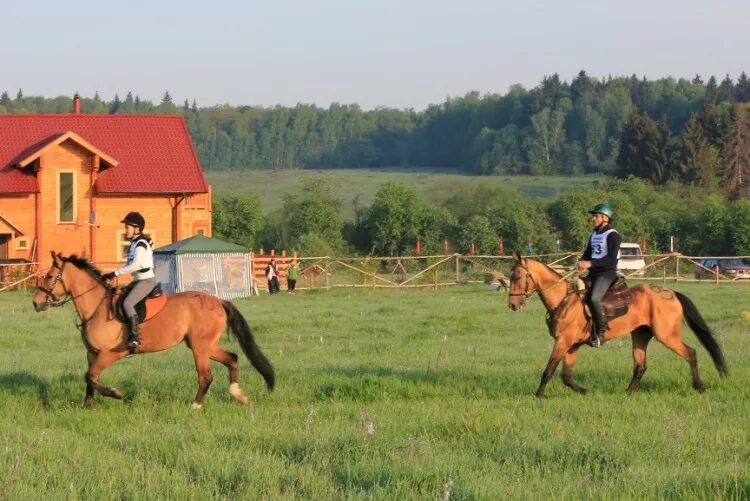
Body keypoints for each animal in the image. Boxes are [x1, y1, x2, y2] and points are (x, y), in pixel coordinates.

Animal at [33, 252, 276, 408]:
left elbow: (90, 376)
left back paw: (195, 406)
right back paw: (239, 396)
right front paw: (87, 406)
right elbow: (90, 379)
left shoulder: (111, 354)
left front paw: (115, 393)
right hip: (205, 345)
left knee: (206, 376)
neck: (96, 306)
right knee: (232, 358)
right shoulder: (92, 354)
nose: (36, 303)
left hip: (200, 347)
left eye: (49, 276)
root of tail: (218, 301)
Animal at [506, 252, 728, 396]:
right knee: (640, 365)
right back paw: (628, 393)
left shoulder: (562, 342)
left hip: (667, 336)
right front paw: (584, 391)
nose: (513, 305)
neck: (564, 299)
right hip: (640, 335)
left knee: (691, 353)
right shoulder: (571, 346)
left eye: (517, 276)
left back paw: (699, 387)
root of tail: (671, 293)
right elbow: (566, 376)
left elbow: (548, 371)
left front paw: (538, 395)